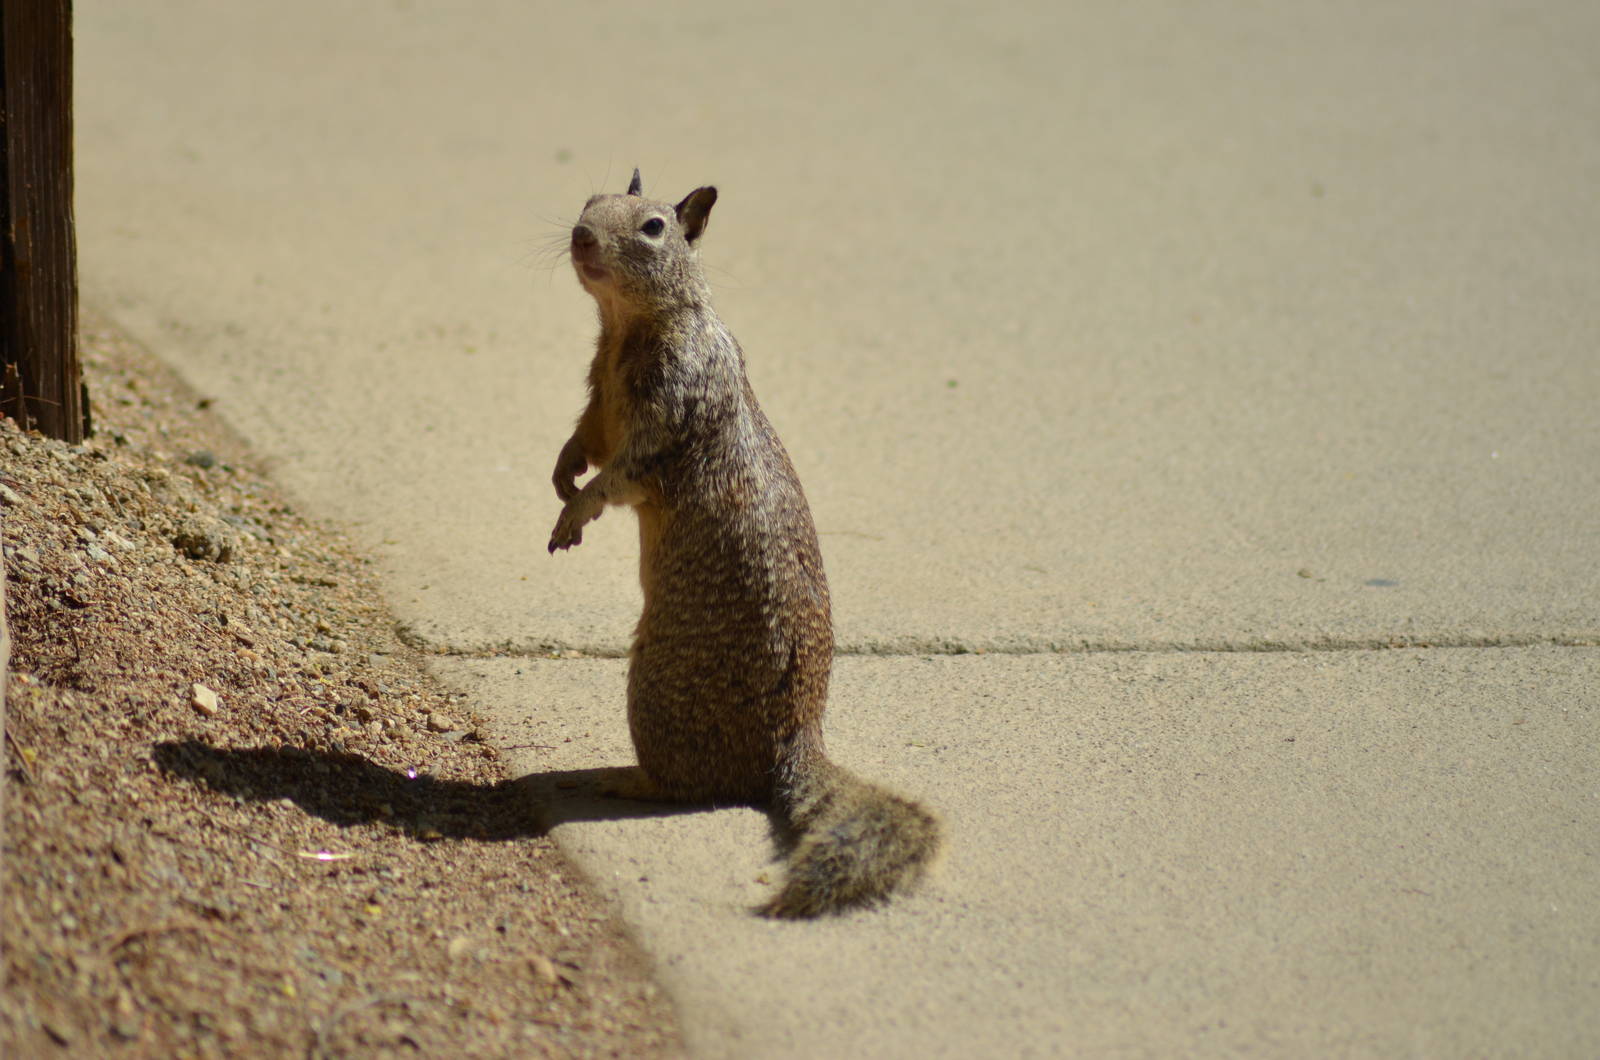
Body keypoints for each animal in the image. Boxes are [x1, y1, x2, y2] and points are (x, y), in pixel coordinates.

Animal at [546, 170, 941, 917]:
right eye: (587, 202)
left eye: (653, 227)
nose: (580, 236)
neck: (625, 327)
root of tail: (793, 743)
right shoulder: (597, 398)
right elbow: (586, 439)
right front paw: (561, 474)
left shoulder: (668, 416)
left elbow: (621, 474)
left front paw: (576, 510)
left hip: (658, 689)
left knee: (694, 786)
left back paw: (624, 779)